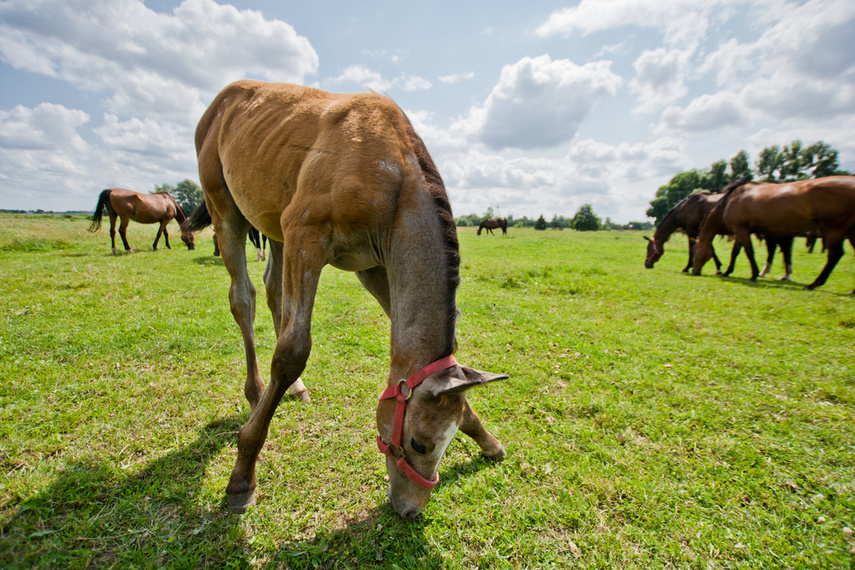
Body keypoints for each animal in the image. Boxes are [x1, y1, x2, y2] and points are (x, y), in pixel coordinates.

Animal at [187, 80, 508, 520]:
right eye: (419, 443)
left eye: (449, 439)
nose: (411, 509)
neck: (389, 177)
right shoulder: (306, 236)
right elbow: (291, 351)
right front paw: (243, 472)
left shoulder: (372, 265)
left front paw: (488, 439)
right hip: (226, 208)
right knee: (243, 299)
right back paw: (256, 392)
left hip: (274, 226)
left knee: (273, 291)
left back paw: (292, 389)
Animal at [692, 176, 855, 292]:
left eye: (695, 253)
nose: (694, 271)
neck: (729, 202)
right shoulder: (740, 230)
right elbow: (735, 252)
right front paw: (727, 272)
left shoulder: (741, 230)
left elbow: (748, 252)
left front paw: (754, 274)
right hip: (849, 230)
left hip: (834, 227)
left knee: (835, 254)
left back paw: (813, 284)